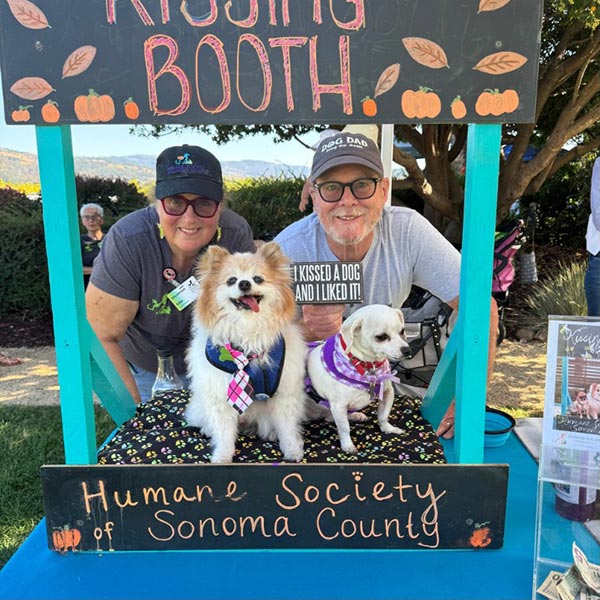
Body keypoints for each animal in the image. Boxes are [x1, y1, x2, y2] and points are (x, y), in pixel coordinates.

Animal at [185, 241, 312, 462]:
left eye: (258, 278)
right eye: (231, 280)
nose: (244, 284)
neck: (247, 332)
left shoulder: (284, 393)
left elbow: (287, 427)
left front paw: (292, 450)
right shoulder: (220, 394)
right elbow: (224, 433)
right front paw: (222, 456)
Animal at [308, 302, 410, 452]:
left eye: (402, 331)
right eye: (381, 337)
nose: (407, 350)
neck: (368, 366)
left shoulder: (388, 393)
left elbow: (383, 415)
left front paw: (388, 428)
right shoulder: (338, 406)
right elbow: (344, 428)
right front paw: (347, 445)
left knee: (330, 418)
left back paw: (356, 415)